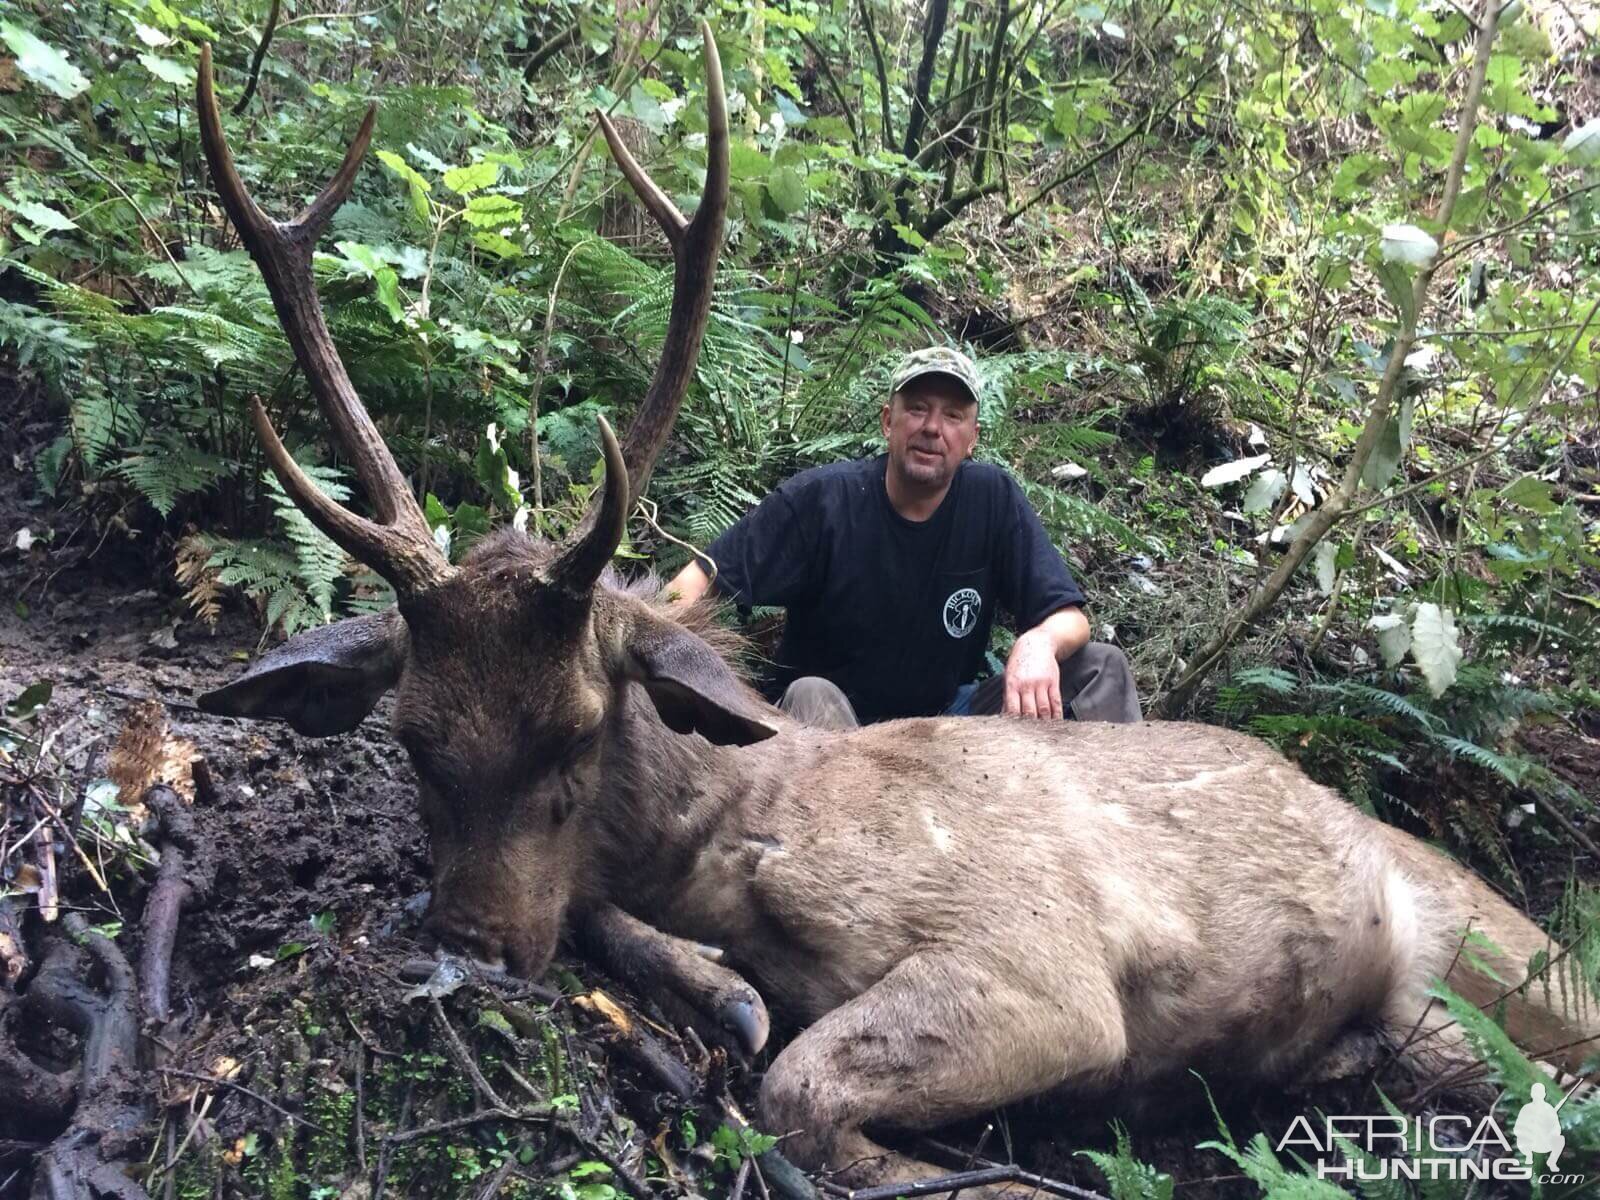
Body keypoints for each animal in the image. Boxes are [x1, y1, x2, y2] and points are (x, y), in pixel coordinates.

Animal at [193, 35, 1593, 1196]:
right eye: (410, 737)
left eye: (579, 728)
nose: (473, 946)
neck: (745, 842)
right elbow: (707, 996)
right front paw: (724, 993)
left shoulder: (1037, 960)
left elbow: (801, 1089)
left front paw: (975, 1169)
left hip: (1497, 941)